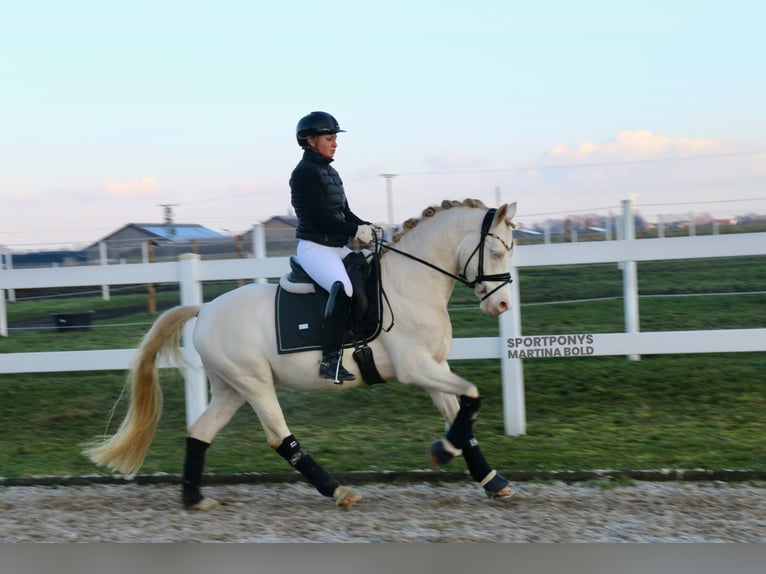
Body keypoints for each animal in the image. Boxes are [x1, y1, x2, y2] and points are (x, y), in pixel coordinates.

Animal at [84, 198, 520, 508]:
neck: (412, 284)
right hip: (254, 383)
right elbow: (472, 397)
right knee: (279, 437)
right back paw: (338, 491)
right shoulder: (416, 368)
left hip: (231, 388)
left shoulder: (434, 367)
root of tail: (205, 309)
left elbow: (461, 414)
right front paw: (442, 450)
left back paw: (193, 498)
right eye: (498, 252)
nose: (502, 306)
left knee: (200, 432)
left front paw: (490, 478)